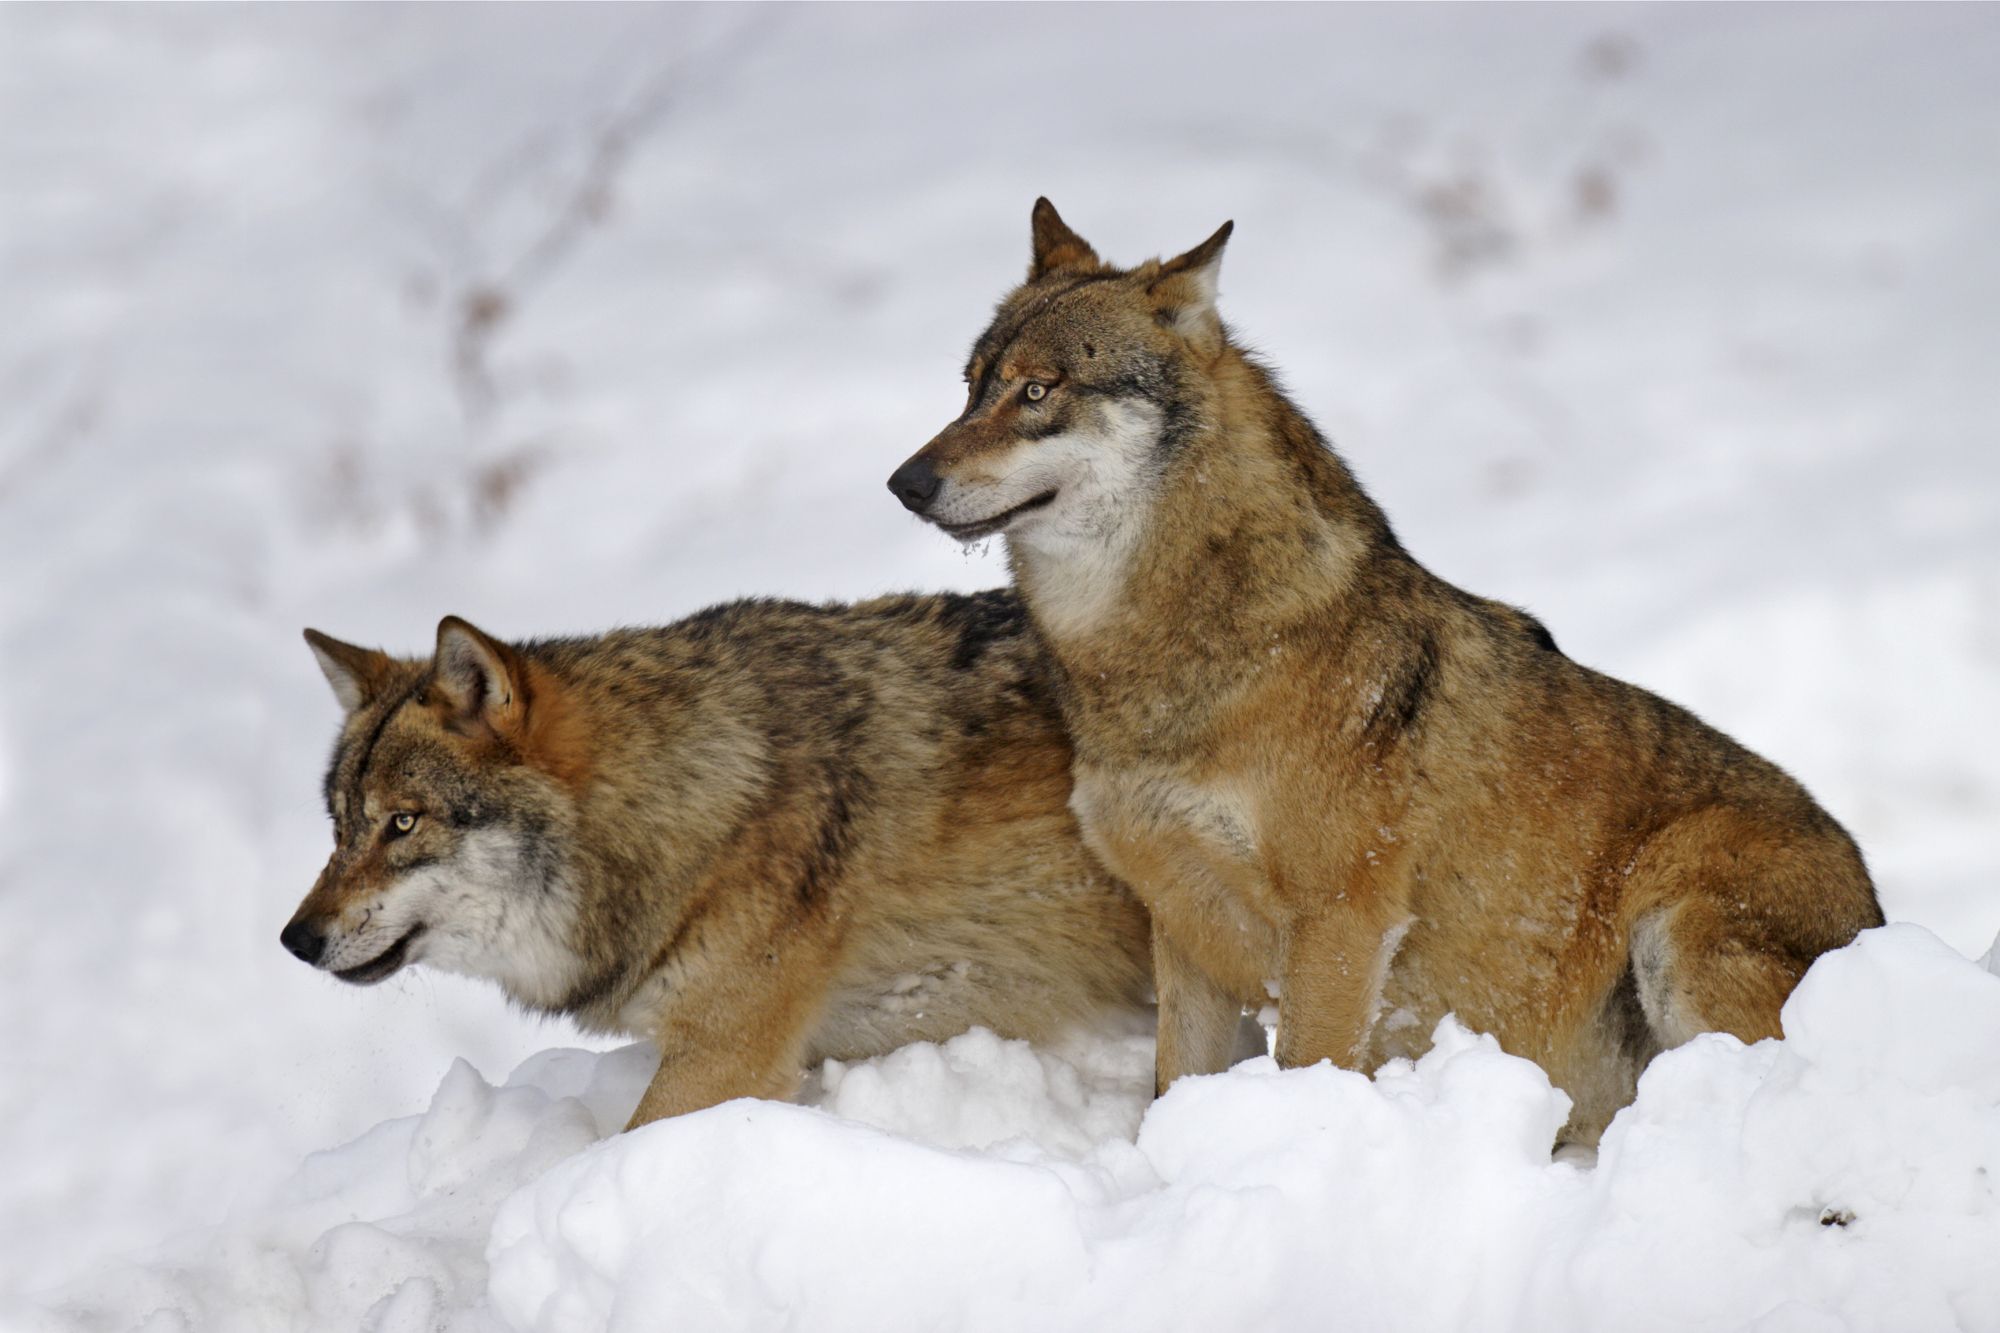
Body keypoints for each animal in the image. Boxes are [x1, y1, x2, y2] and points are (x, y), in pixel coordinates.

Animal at [887, 200, 1884, 1144]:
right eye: (971, 387)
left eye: (1038, 390)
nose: (904, 483)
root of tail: (1875, 908)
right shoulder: (1182, 924)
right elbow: (1173, 1089)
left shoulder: (1341, 921)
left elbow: (1306, 1070)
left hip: (1681, 919)